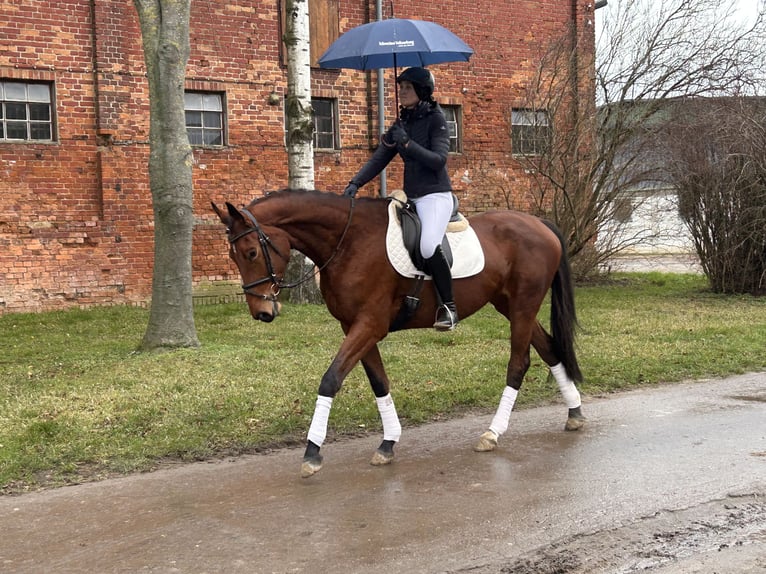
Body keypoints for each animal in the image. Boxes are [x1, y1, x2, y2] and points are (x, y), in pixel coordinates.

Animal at [213, 191, 584, 480]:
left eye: (251, 252)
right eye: (232, 255)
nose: (261, 312)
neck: (348, 241)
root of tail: (540, 224)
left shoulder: (369, 325)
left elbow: (331, 378)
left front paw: (312, 452)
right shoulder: (354, 326)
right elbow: (379, 382)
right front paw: (388, 443)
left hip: (522, 307)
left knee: (518, 363)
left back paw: (493, 433)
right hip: (511, 307)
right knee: (550, 350)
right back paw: (575, 413)